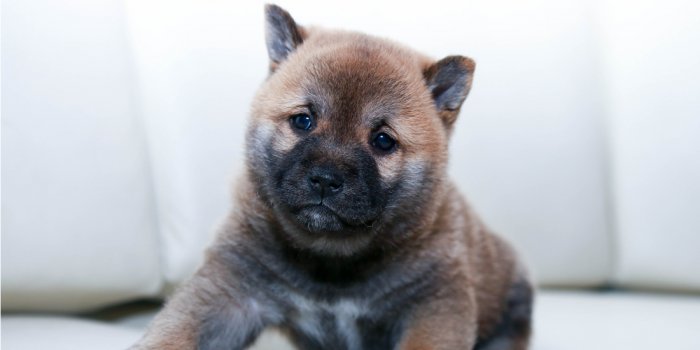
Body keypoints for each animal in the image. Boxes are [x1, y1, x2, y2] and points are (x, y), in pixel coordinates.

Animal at [133, 4, 532, 350]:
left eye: (383, 140)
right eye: (303, 120)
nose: (325, 179)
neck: (332, 264)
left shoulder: (434, 304)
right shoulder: (231, 292)